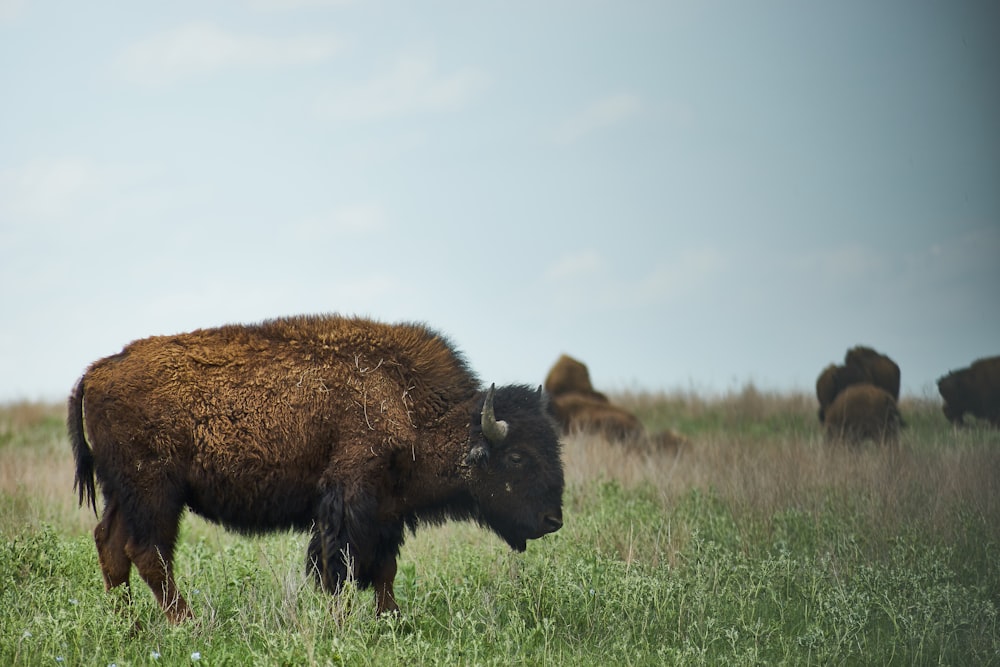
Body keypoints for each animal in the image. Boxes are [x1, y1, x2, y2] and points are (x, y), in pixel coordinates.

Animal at [69, 316, 568, 624]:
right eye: (518, 457)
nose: (553, 520)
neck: (404, 400)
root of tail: (96, 372)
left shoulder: (387, 512)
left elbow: (384, 570)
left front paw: (392, 622)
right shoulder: (348, 501)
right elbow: (340, 568)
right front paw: (343, 623)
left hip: (123, 493)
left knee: (111, 546)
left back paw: (129, 627)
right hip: (154, 492)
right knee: (148, 553)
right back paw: (187, 624)